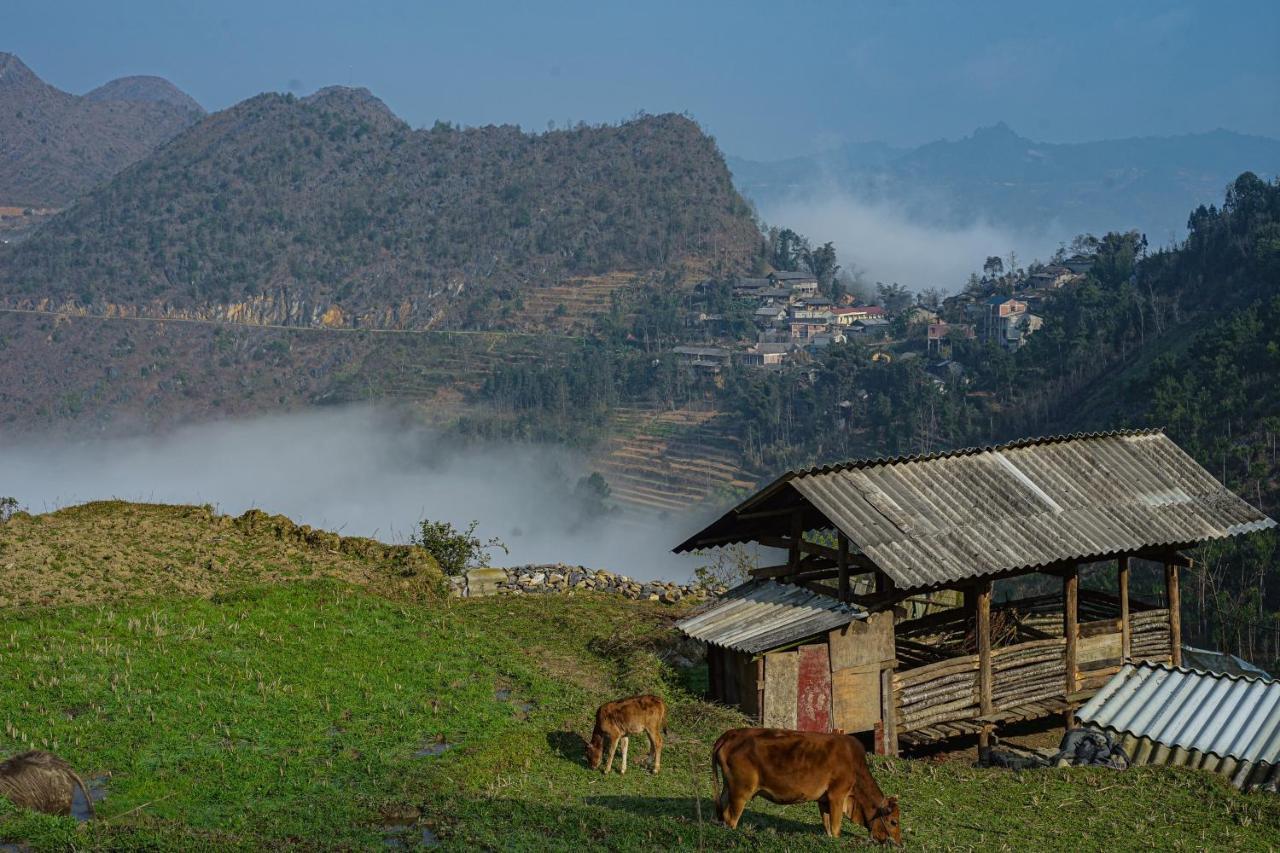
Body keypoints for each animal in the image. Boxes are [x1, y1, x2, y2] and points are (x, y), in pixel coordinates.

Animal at [711, 727, 901, 840]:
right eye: (893, 822)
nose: (898, 843)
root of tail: (729, 735)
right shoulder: (837, 795)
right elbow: (836, 827)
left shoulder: (824, 800)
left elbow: (827, 824)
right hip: (741, 791)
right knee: (730, 817)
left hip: (728, 788)